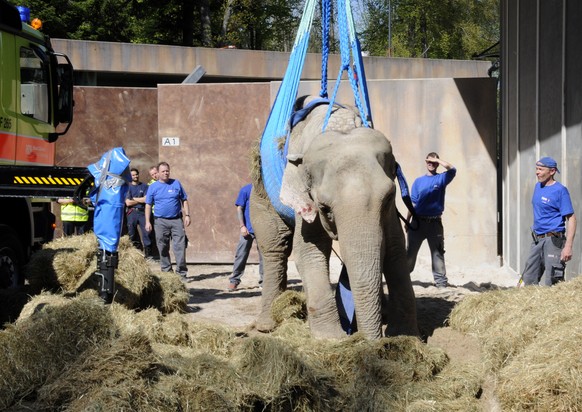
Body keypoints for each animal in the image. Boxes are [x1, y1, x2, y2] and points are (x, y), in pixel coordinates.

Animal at [251, 96, 420, 342]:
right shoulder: (306, 197)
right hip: (260, 194)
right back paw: (266, 325)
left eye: (389, 197)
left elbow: (395, 246)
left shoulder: (389, 211)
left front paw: (405, 335)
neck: (343, 126)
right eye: (324, 207)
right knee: (275, 248)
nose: (371, 343)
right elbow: (309, 250)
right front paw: (331, 339)